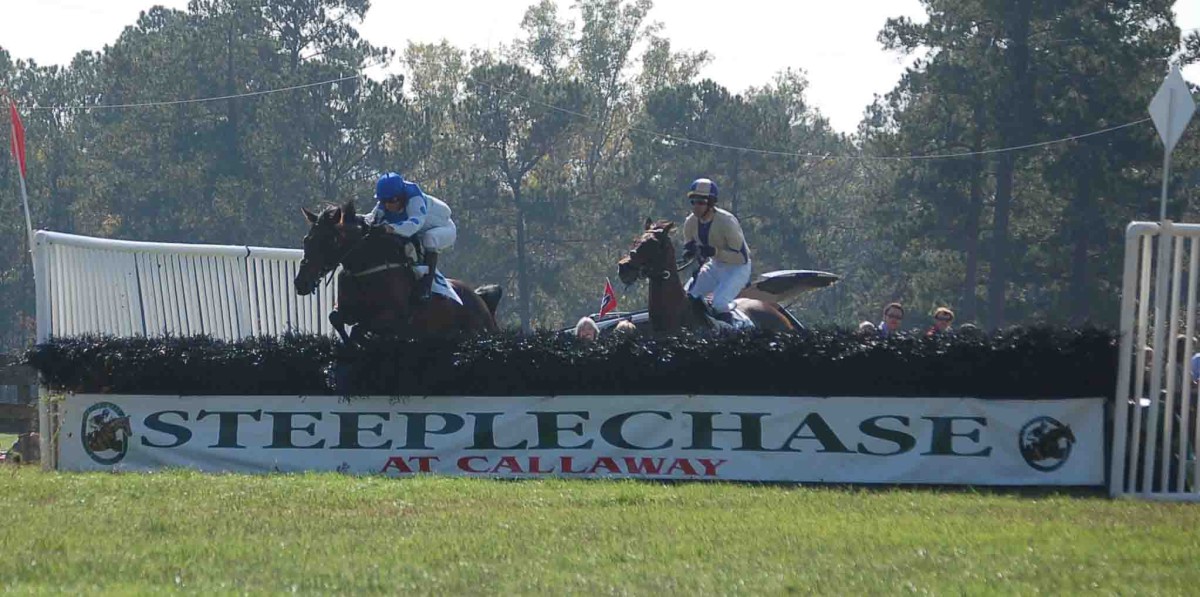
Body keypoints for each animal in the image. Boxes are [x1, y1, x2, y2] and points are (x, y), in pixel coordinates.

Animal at [295, 201, 501, 342]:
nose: (301, 283)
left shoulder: (392, 318)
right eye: (306, 239)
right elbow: (335, 317)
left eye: (330, 240)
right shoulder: (348, 310)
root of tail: (480, 300)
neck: (366, 267)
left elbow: (359, 329)